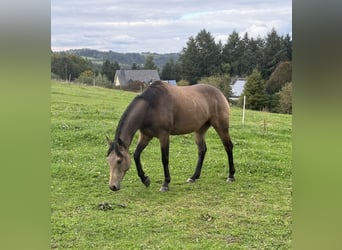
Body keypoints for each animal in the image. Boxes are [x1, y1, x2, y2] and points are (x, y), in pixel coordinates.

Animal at [107, 80, 235, 191]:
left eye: (119, 161)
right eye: (108, 160)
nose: (113, 186)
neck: (150, 107)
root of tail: (220, 93)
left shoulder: (164, 135)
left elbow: (164, 158)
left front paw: (165, 184)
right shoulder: (145, 136)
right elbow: (136, 155)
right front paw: (145, 179)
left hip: (221, 127)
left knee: (228, 147)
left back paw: (231, 176)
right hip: (199, 130)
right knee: (202, 151)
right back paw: (193, 177)